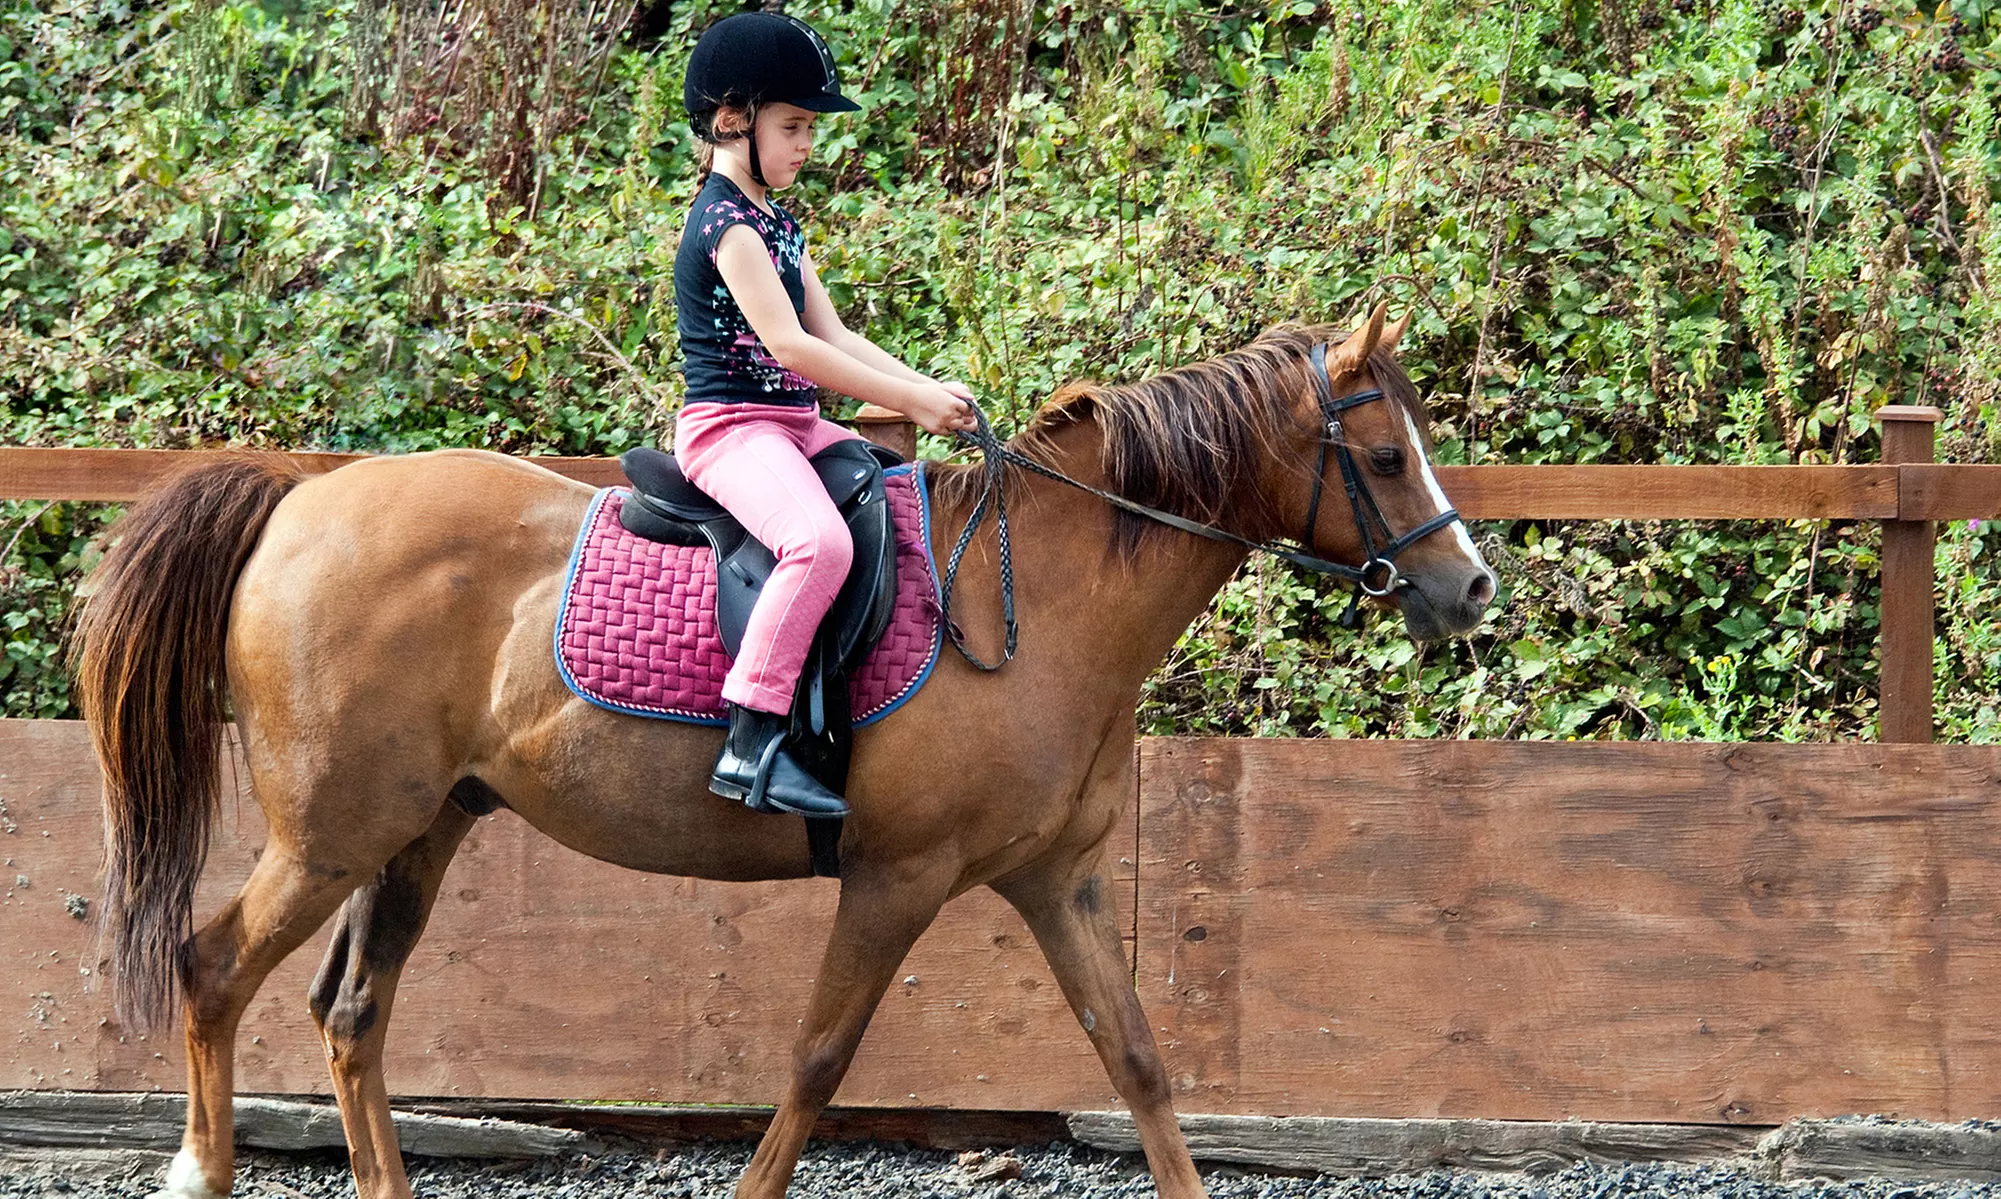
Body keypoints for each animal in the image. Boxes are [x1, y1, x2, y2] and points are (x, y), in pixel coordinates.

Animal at [72, 306, 1494, 1199]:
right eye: (1383, 455)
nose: (1472, 589)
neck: (1041, 598)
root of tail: (300, 497)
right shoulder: (897, 877)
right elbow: (815, 1061)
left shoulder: (1060, 879)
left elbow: (1138, 1058)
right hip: (331, 833)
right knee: (212, 966)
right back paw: (200, 1164)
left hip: (421, 829)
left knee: (352, 1011)